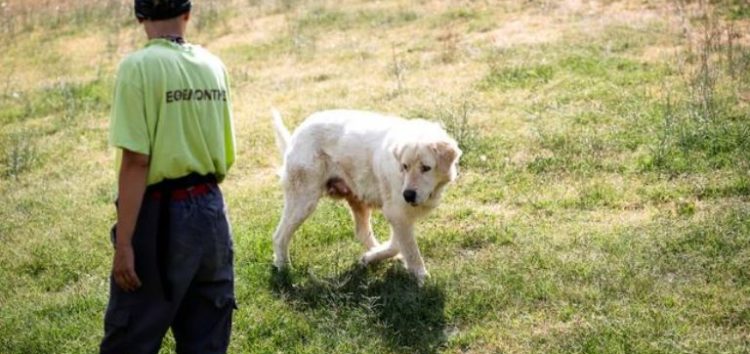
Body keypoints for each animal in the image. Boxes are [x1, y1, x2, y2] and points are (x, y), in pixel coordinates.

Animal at [268, 109, 462, 284]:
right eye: (405, 166)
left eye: (426, 168)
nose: (407, 195)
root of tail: (298, 133)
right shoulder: (397, 213)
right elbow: (409, 248)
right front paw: (421, 276)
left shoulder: (399, 216)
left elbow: (397, 244)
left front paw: (370, 257)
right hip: (303, 202)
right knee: (279, 236)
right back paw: (284, 268)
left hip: (357, 199)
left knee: (361, 232)